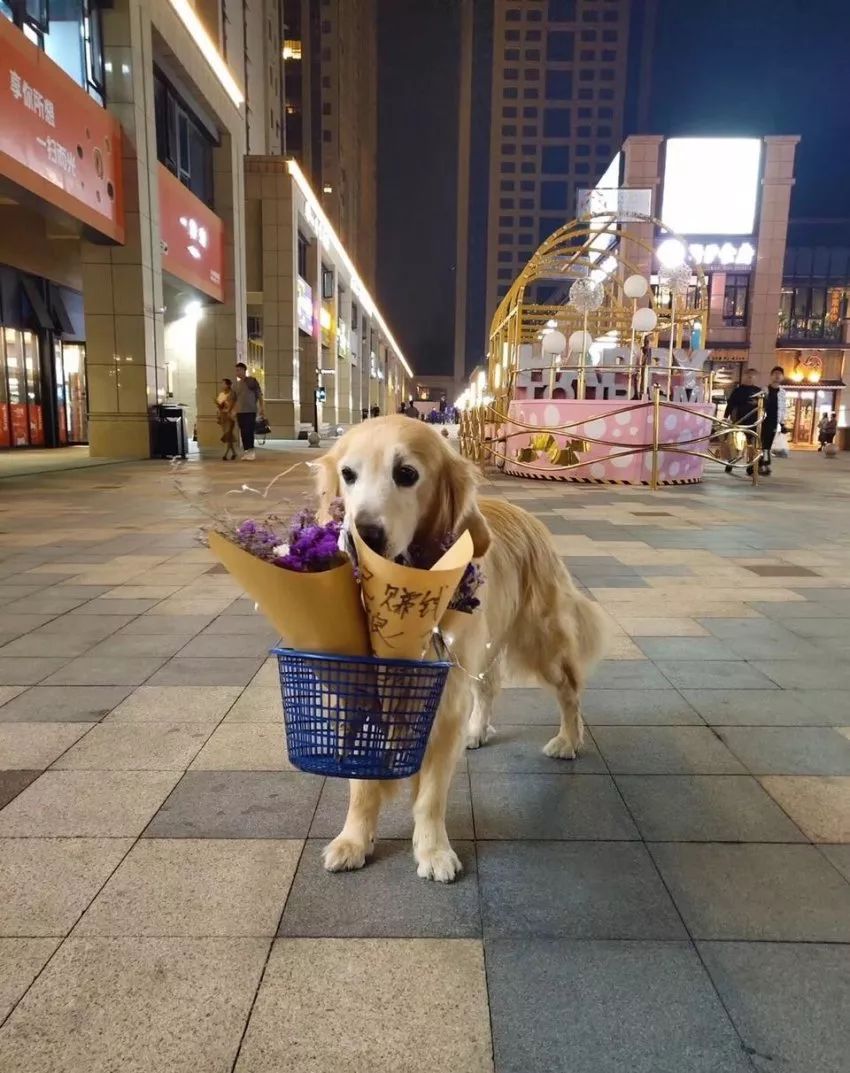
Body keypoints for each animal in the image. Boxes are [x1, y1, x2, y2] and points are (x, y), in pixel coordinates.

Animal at [315, 416, 609, 879]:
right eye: (348, 474)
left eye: (407, 474)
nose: (363, 535)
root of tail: (527, 517)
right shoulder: (359, 691)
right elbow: (361, 785)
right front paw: (353, 841)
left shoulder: (444, 698)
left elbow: (430, 793)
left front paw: (433, 851)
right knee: (487, 688)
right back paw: (477, 731)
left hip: (539, 641)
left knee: (570, 690)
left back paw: (568, 740)